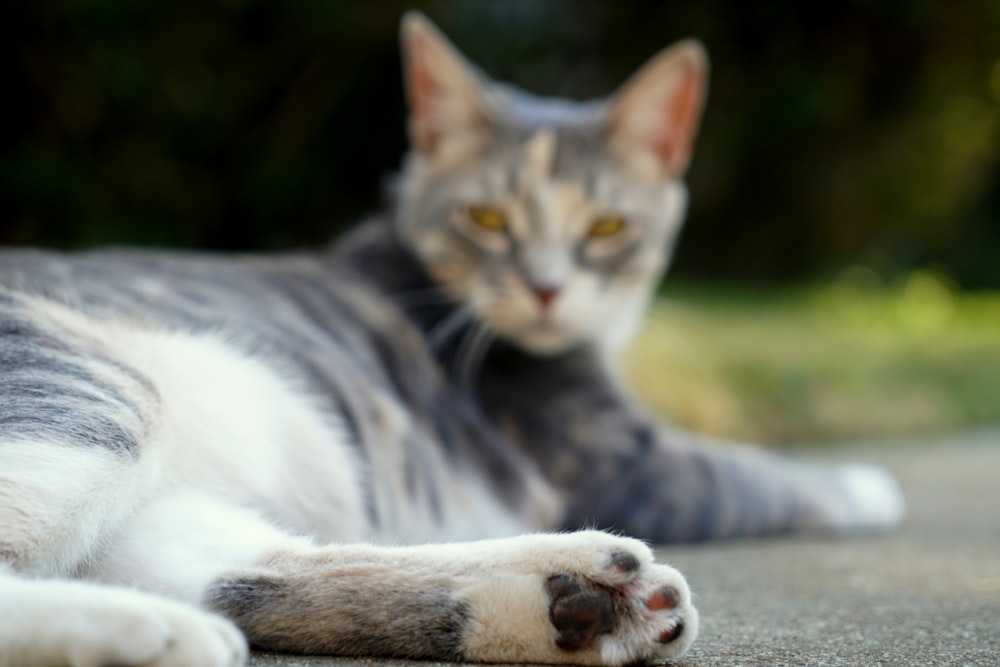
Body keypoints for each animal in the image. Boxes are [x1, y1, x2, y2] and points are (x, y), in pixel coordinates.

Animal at [0, 11, 904, 667]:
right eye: (488, 218)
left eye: (607, 227)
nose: (546, 287)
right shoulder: (622, 459)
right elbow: (758, 473)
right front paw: (866, 485)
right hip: (92, 389)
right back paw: (142, 631)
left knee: (237, 571)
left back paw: (567, 596)